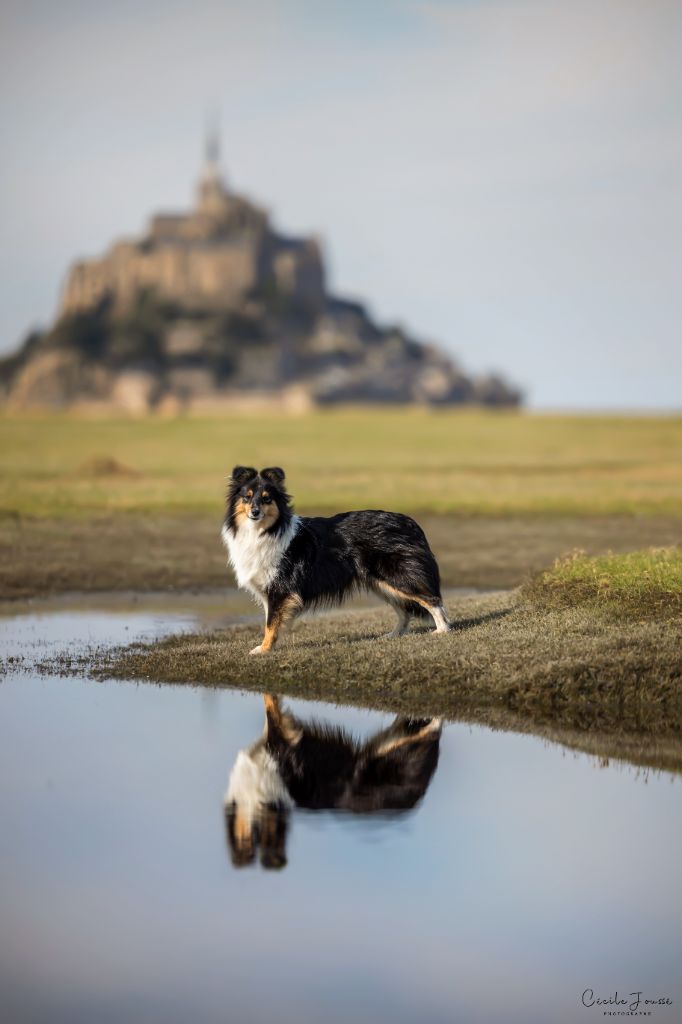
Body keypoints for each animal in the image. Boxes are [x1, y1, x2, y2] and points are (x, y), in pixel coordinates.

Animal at [220, 466, 448, 655]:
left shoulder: (280, 589)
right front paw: (269, 646)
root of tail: (410, 522)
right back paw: (393, 635)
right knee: (404, 611)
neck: (266, 530)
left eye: (267, 499)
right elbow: (271, 622)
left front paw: (263, 649)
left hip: (397, 576)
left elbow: (270, 623)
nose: (255, 512)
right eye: (247, 497)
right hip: (380, 583)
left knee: (432, 600)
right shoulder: (271, 591)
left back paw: (442, 630)